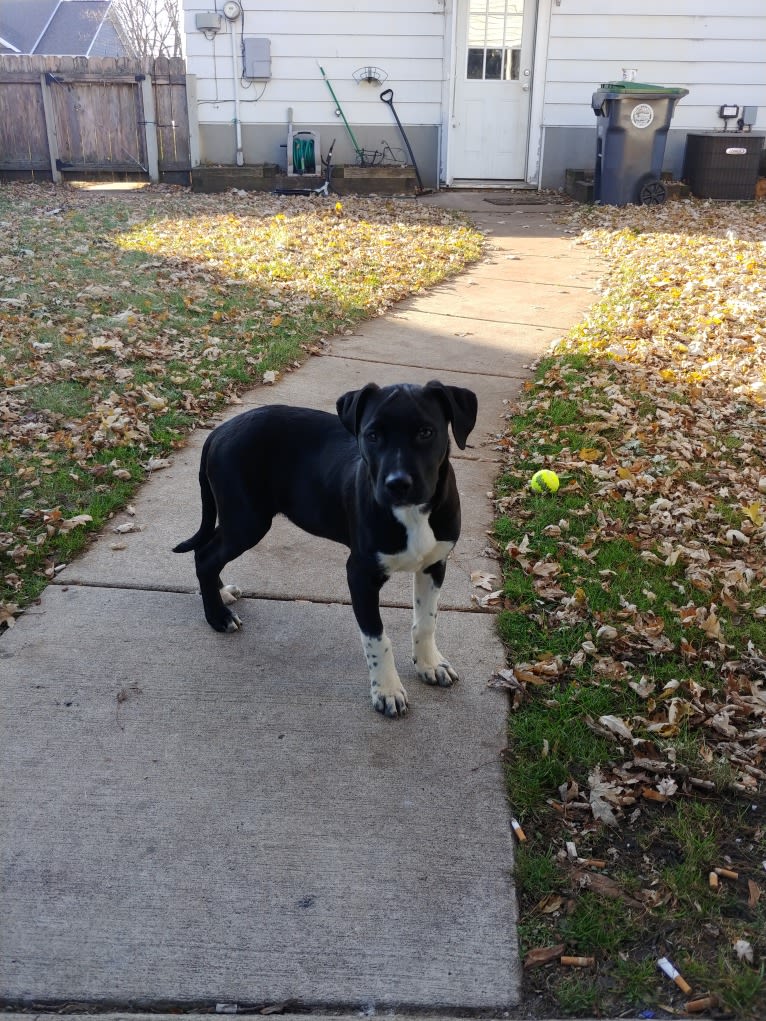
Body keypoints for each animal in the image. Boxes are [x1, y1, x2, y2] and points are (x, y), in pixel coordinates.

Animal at [174, 381, 477, 718]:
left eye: (426, 432)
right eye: (372, 435)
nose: (397, 484)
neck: (413, 514)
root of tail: (219, 431)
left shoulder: (434, 564)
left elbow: (426, 621)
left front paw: (429, 664)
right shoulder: (360, 574)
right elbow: (377, 638)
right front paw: (387, 691)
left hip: (239, 519)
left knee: (208, 551)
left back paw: (220, 593)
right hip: (246, 521)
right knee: (206, 556)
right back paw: (217, 616)